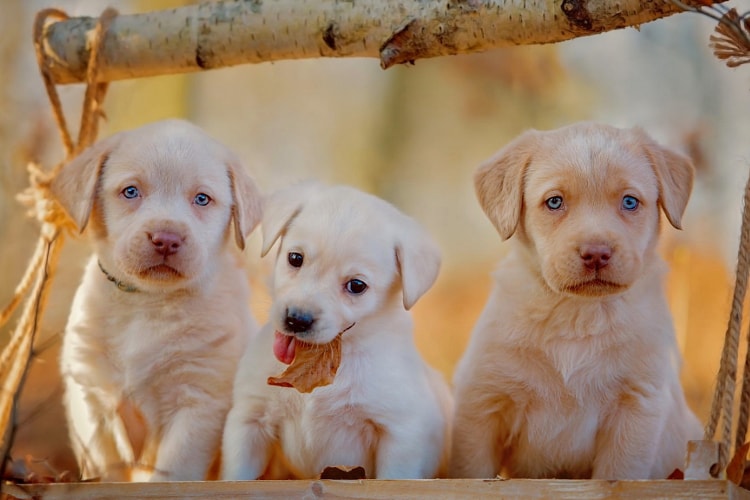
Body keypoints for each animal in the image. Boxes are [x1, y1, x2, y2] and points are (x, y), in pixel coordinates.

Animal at [51, 119, 262, 482]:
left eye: (202, 199)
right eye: (131, 191)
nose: (166, 238)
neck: (148, 303)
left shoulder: (198, 400)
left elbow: (172, 471)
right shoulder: (91, 396)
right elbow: (108, 465)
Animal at [220, 184, 456, 480]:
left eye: (356, 285)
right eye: (295, 258)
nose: (296, 320)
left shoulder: (399, 435)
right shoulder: (250, 419)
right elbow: (237, 475)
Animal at [452, 122, 704, 480]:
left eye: (630, 201)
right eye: (555, 202)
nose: (596, 253)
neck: (577, 314)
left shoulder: (636, 408)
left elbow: (617, 477)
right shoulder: (482, 401)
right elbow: (470, 472)